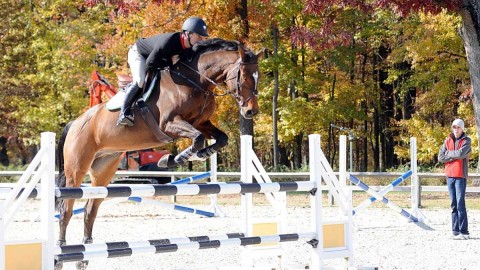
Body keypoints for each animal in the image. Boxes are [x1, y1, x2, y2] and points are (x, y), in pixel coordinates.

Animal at [56, 38, 264, 270]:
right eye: (243, 76)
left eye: (258, 76)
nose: (251, 111)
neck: (196, 80)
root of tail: (76, 122)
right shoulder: (169, 124)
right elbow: (197, 138)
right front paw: (174, 158)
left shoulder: (201, 123)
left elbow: (220, 138)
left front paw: (195, 155)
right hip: (77, 169)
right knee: (66, 210)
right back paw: (60, 256)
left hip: (104, 170)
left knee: (90, 210)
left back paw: (83, 257)